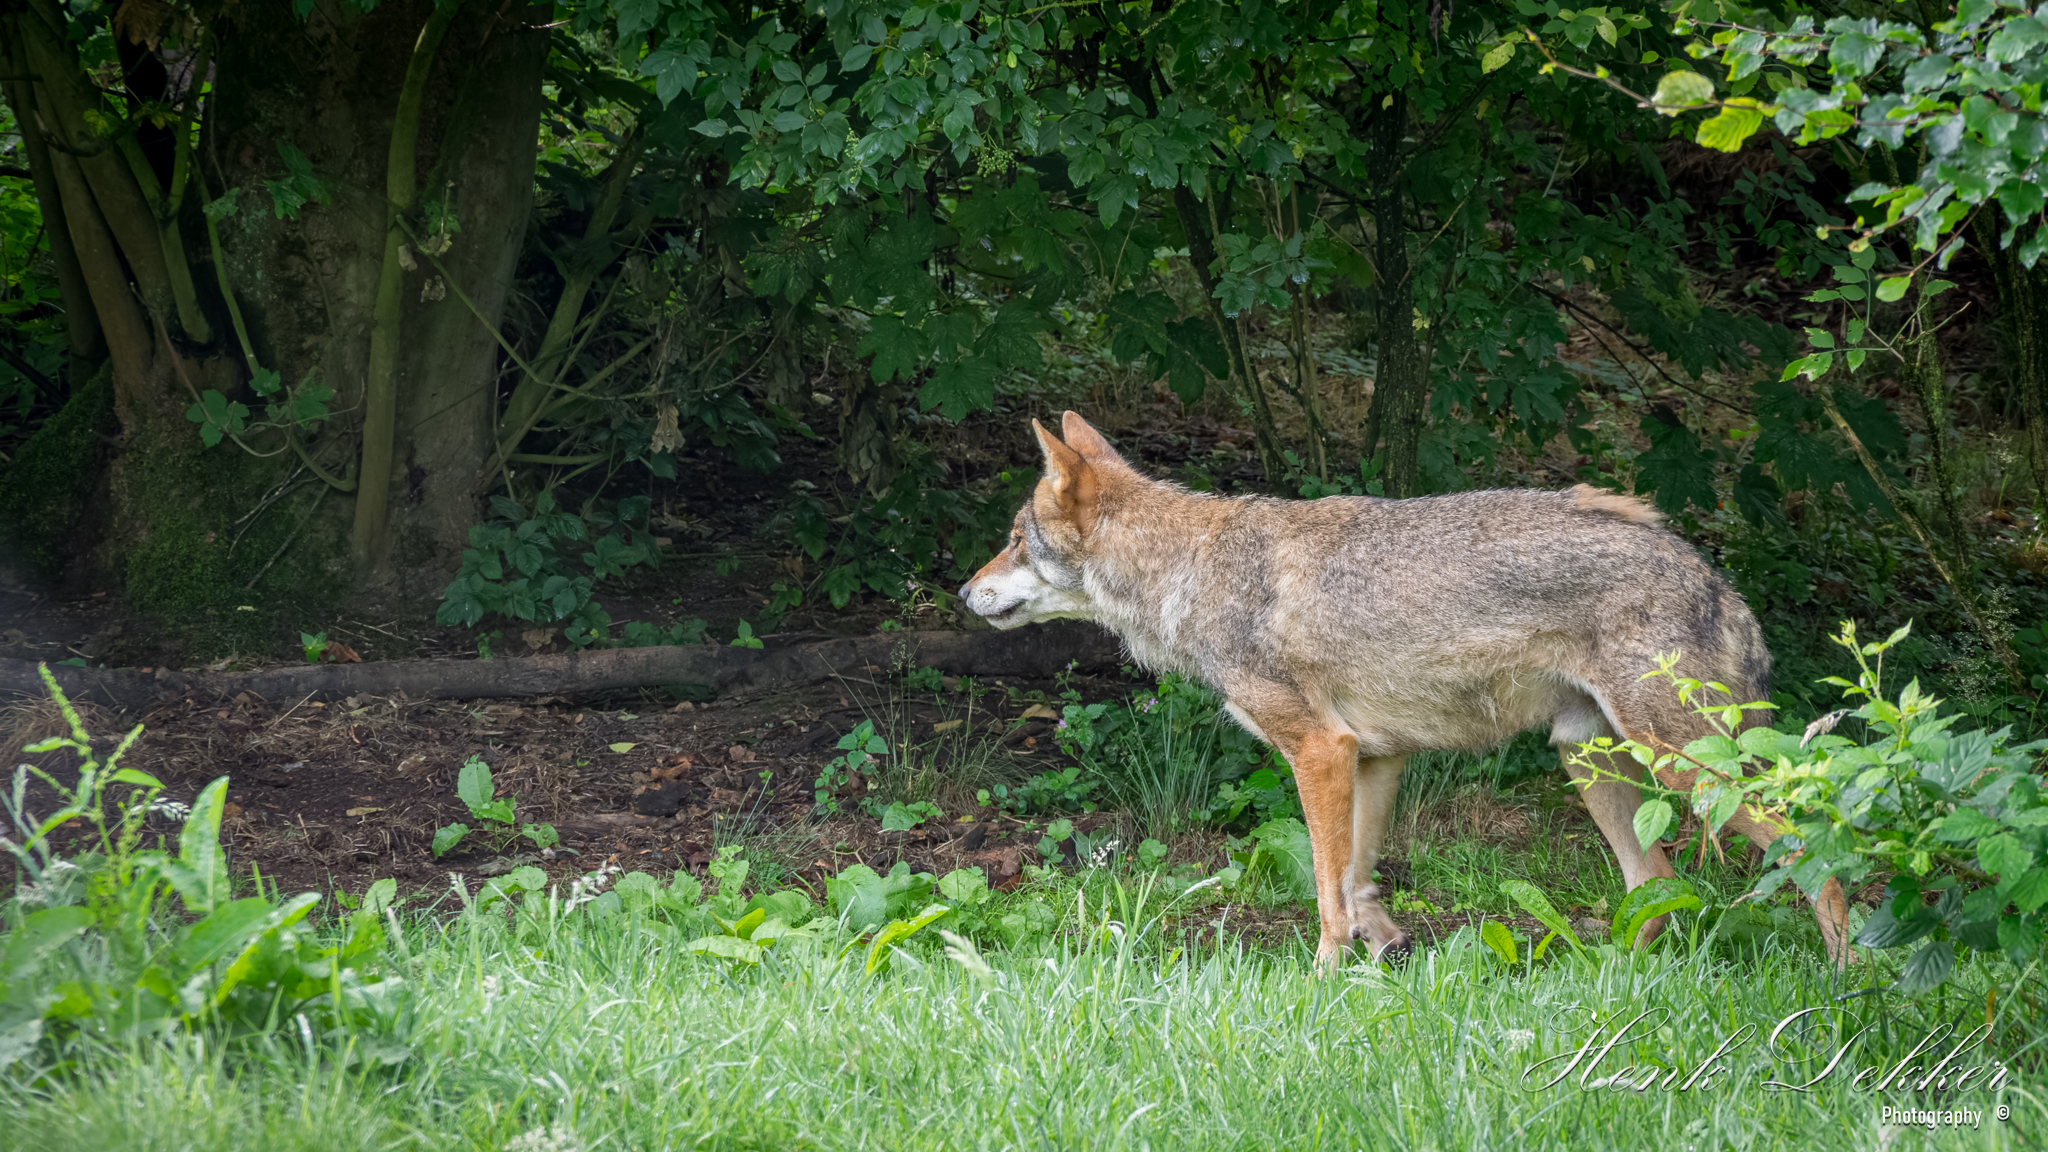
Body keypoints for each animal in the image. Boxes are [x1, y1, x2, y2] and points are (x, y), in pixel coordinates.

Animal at [960, 411, 1855, 968]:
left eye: (1012, 540)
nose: (965, 592)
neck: (1192, 571)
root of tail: (1718, 581)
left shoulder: (1320, 750)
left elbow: (1326, 892)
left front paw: (1319, 981)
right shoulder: (1374, 758)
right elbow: (1355, 879)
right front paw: (1380, 951)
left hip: (1683, 767)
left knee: (1811, 854)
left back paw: (1848, 980)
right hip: (1592, 760)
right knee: (1659, 887)